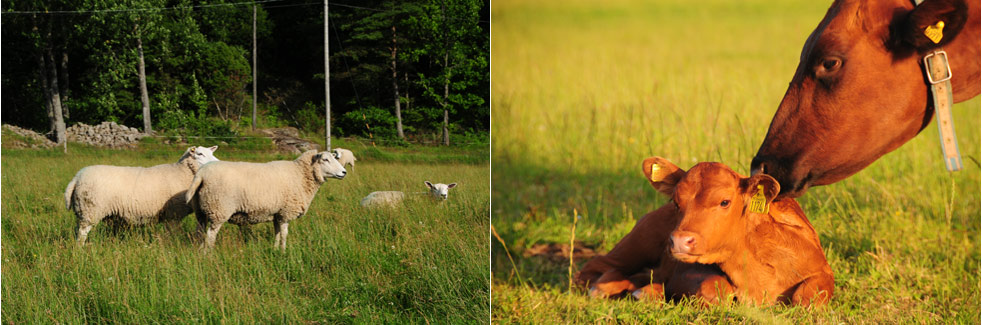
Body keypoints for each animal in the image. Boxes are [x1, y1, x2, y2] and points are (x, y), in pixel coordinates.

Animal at [66, 146, 221, 244]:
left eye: (211, 153)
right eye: (200, 154)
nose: (218, 163)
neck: (182, 172)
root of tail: (76, 178)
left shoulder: (170, 215)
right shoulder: (173, 214)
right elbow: (173, 233)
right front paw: (173, 244)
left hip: (82, 210)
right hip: (90, 210)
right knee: (82, 234)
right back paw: (80, 250)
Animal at [186, 148, 348, 249]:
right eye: (325, 160)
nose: (344, 172)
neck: (300, 175)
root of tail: (201, 174)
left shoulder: (277, 213)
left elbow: (277, 234)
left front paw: (275, 250)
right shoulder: (286, 212)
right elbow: (284, 235)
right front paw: (284, 252)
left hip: (201, 210)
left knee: (200, 233)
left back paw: (199, 252)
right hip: (219, 209)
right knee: (210, 235)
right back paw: (209, 255)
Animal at [576, 156, 836, 306]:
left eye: (724, 202)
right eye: (675, 202)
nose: (680, 241)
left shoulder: (821, 270)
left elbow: (808, 297)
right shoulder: (686, 270)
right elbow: (715, 288)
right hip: (636, 243)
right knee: (594, 269)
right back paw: (605, 289)